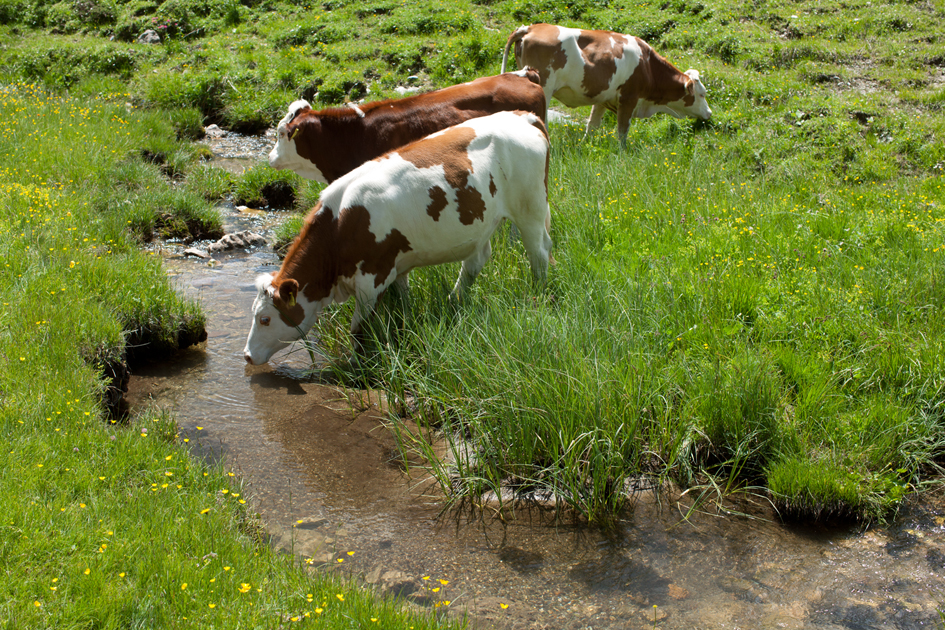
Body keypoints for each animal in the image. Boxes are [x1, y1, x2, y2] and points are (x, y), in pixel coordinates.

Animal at [243, 109, 552, 366]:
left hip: (530, 208)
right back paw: (454, 299)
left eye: (265, 319)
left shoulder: (372, 277)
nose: (246, 355)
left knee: (538, 254)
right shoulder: (395, 266)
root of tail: (521, 116)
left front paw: (357, 362)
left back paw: (537, 293)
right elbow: (402, 301)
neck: (341, 221)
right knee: (479, 259)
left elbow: (358, 327)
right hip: (488, 221)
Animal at [502, 22, 708, 146]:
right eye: (702, 94)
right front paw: (622, 153)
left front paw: (585, 145)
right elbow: (622, 130)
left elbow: (592, 125)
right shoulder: (629, 98)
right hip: (544, 88)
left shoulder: (602, 99)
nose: (709, 112)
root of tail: (530, 27)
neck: (648, 66)